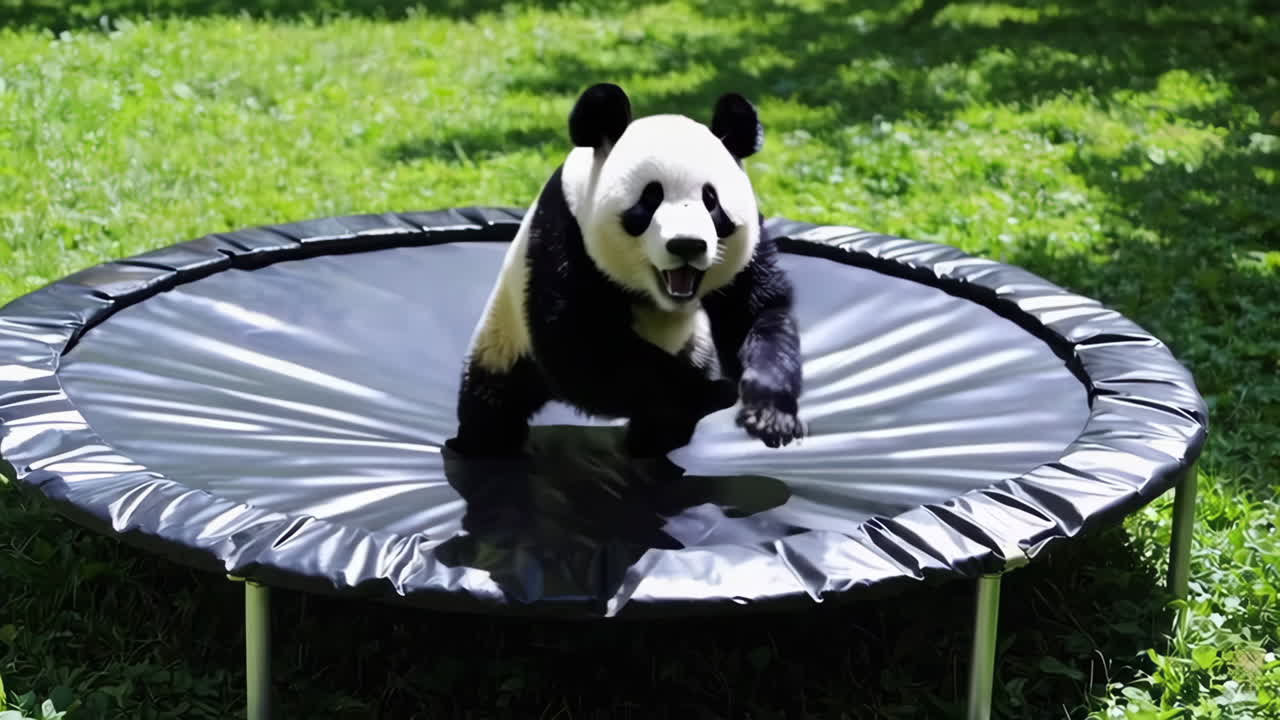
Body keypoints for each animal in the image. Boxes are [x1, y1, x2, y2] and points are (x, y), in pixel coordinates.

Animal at [447, 83, 805, 458]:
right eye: (650, 199)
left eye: (711, 201)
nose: (687, 245)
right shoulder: (566, 237)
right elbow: (584, 349)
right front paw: (713, 391)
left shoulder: (750, 248)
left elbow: (757, 313)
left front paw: (768, 413)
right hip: (505, 336)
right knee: (493, 400)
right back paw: (483, 442)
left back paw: (653, 439)